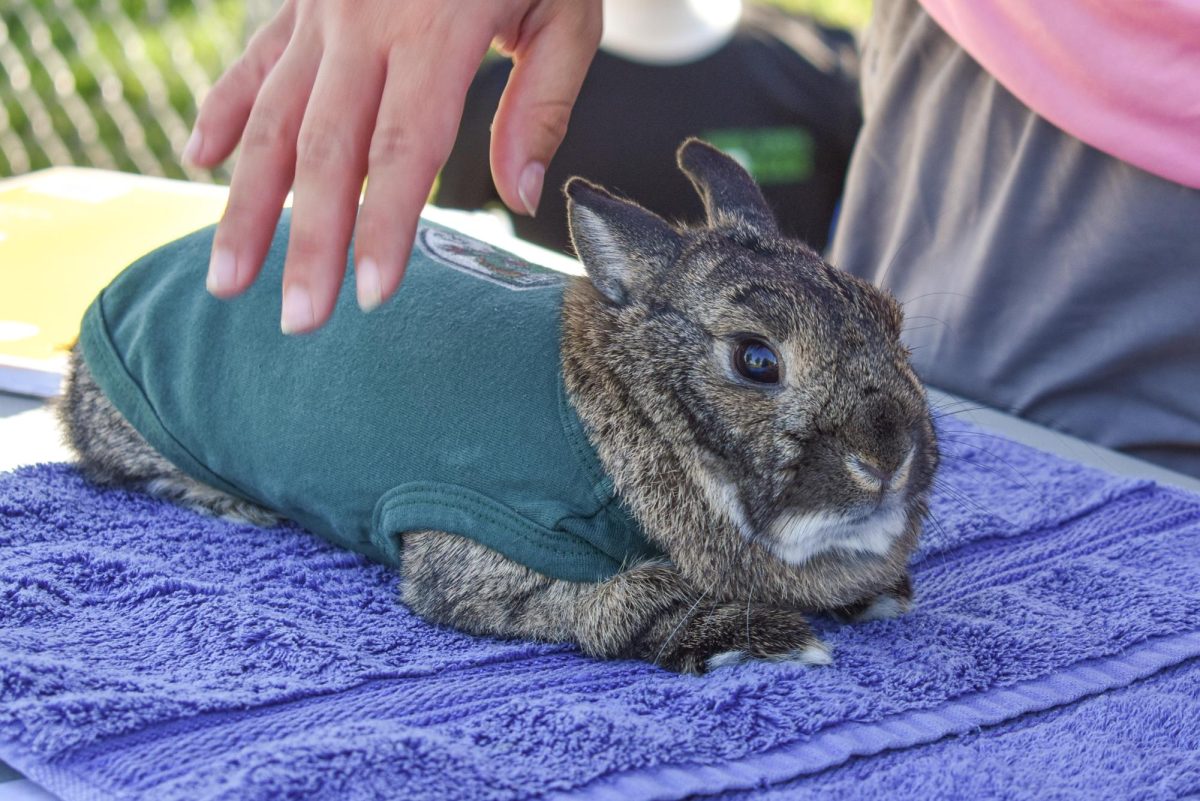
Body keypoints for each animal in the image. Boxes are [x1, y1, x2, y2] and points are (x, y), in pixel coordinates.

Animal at [58, 140, 936, 671]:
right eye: (756, 360)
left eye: (891, 318)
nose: (887, 458)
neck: (630, 408)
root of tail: (125, 279)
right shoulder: (477, 545)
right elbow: (623, 603)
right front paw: (766, 641)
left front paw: (878, 595)